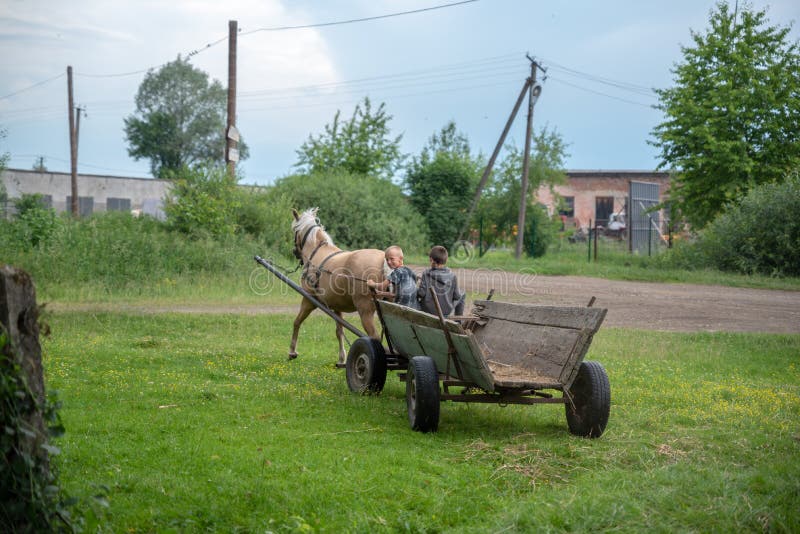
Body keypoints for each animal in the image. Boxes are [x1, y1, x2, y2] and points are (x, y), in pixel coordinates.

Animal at [290, 208, 386, 364]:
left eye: (294, 231)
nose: (295, 252)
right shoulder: (336, 306)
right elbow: (339, 331)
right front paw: (342, 359)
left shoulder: (309, 300)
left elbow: (297, 322)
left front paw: (292, 351)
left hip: (365, 310)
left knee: (374, 337)